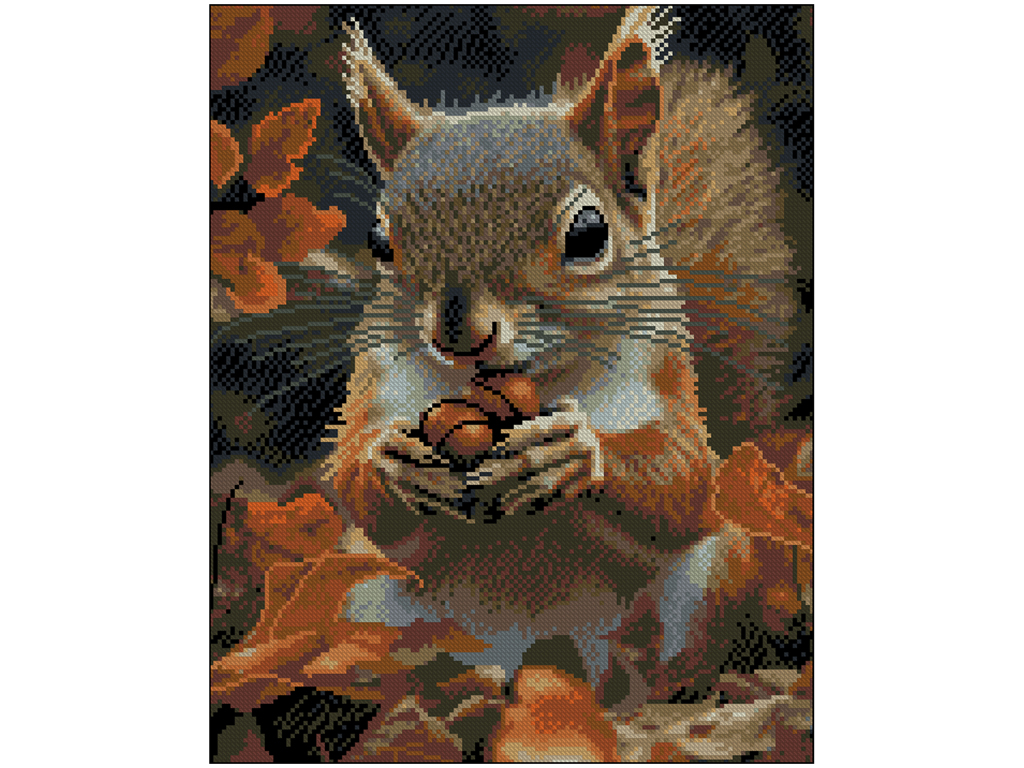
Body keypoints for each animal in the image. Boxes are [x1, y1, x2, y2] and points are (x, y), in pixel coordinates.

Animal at [320, 8, 810, 713]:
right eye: (380, 241)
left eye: (588, 234)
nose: (458, 331)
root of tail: (541, 675)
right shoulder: (377, 375)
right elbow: (352, 480)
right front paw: (396, 464)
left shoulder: (664, 371)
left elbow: (685, 474)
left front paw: (571, 454)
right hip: (361, 595)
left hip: (710, 578)